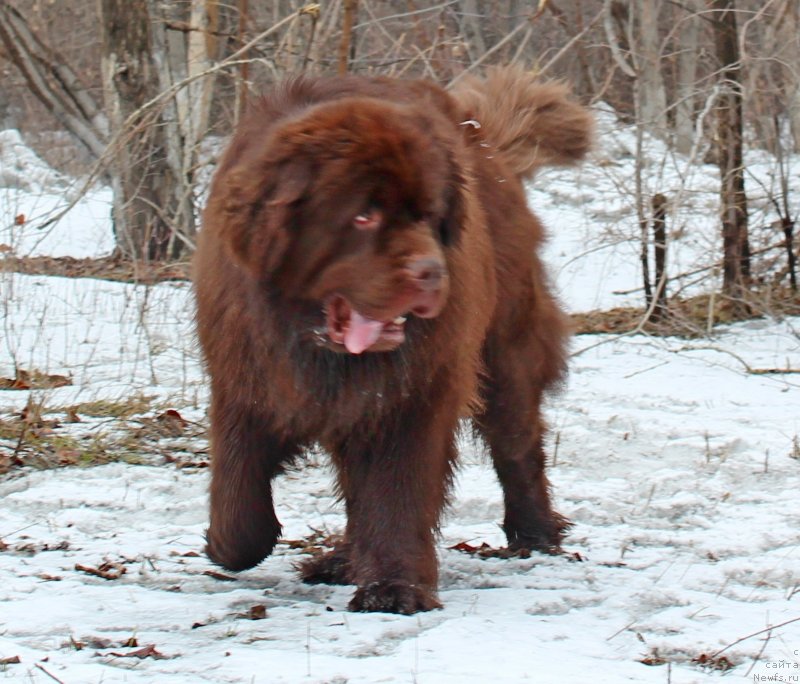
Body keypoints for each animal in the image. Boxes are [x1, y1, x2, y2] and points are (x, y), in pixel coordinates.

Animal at [192, 68, 592, 616]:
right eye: (364, 216)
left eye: (428, 214)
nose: (431, 272)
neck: (317, 342)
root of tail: (485, 137)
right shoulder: (245, 375)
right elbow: (236, 495)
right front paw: (230, 544)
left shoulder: (414, 391)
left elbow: (398, 490)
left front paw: (394, 588)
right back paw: (341, 561)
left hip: (505, 351)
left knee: (517, 445)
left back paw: (534, 535)